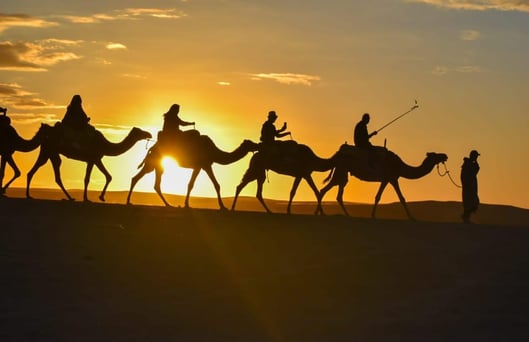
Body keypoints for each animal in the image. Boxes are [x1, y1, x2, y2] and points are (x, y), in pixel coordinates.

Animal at [128, 132, 260, 208]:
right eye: (251, 143)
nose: (259, 145)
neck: (214, 151)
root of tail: (151, 148)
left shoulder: (202, 166)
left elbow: (198, 184)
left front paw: (186, 204)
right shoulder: (203, 165)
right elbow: (203, 184)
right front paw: (222, 207)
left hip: (155, 164)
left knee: (144, 180)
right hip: (155, 163)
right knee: (146, 180)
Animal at [316, 144, 448, 219]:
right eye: (435, 155)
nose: (445, 156)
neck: (399, 166)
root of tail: (338, 153)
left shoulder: (385, 179)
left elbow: (378, 197)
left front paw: (373, 215)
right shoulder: (393, 177)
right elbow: (402, 198)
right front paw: (412, 217)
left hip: (342, 171)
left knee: (336, 193)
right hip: (341, 169)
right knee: (326, 190)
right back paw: (323, 213)